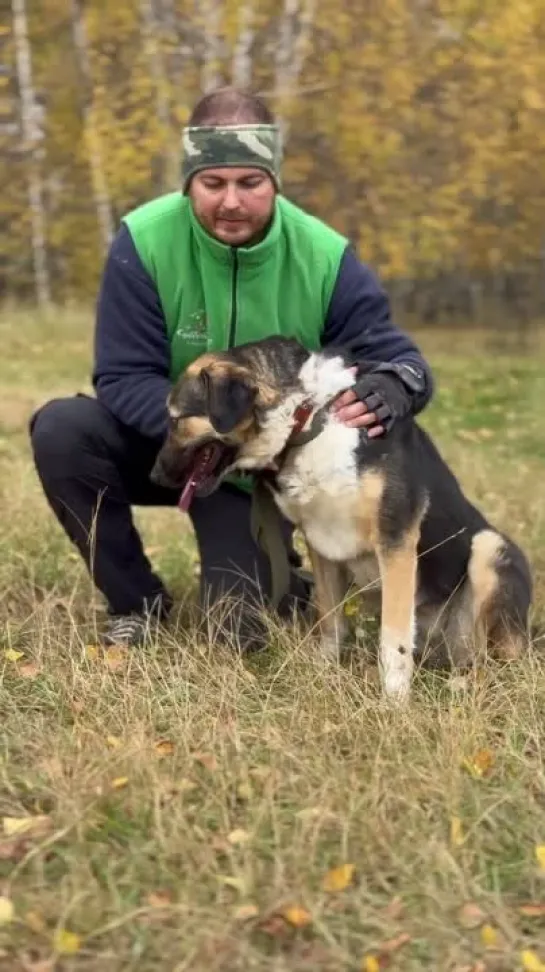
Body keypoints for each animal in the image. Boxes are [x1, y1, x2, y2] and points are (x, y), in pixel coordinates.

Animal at [151, 334, 532, 700]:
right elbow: (330, 620)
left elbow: (393, 639)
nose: (155, 476)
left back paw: (463, 684)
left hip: (488, 549)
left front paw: (394, 700)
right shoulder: (321, 543)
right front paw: (323, 670)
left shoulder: (396, 541)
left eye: (175, 419)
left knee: (495, 664)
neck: (308, 420)